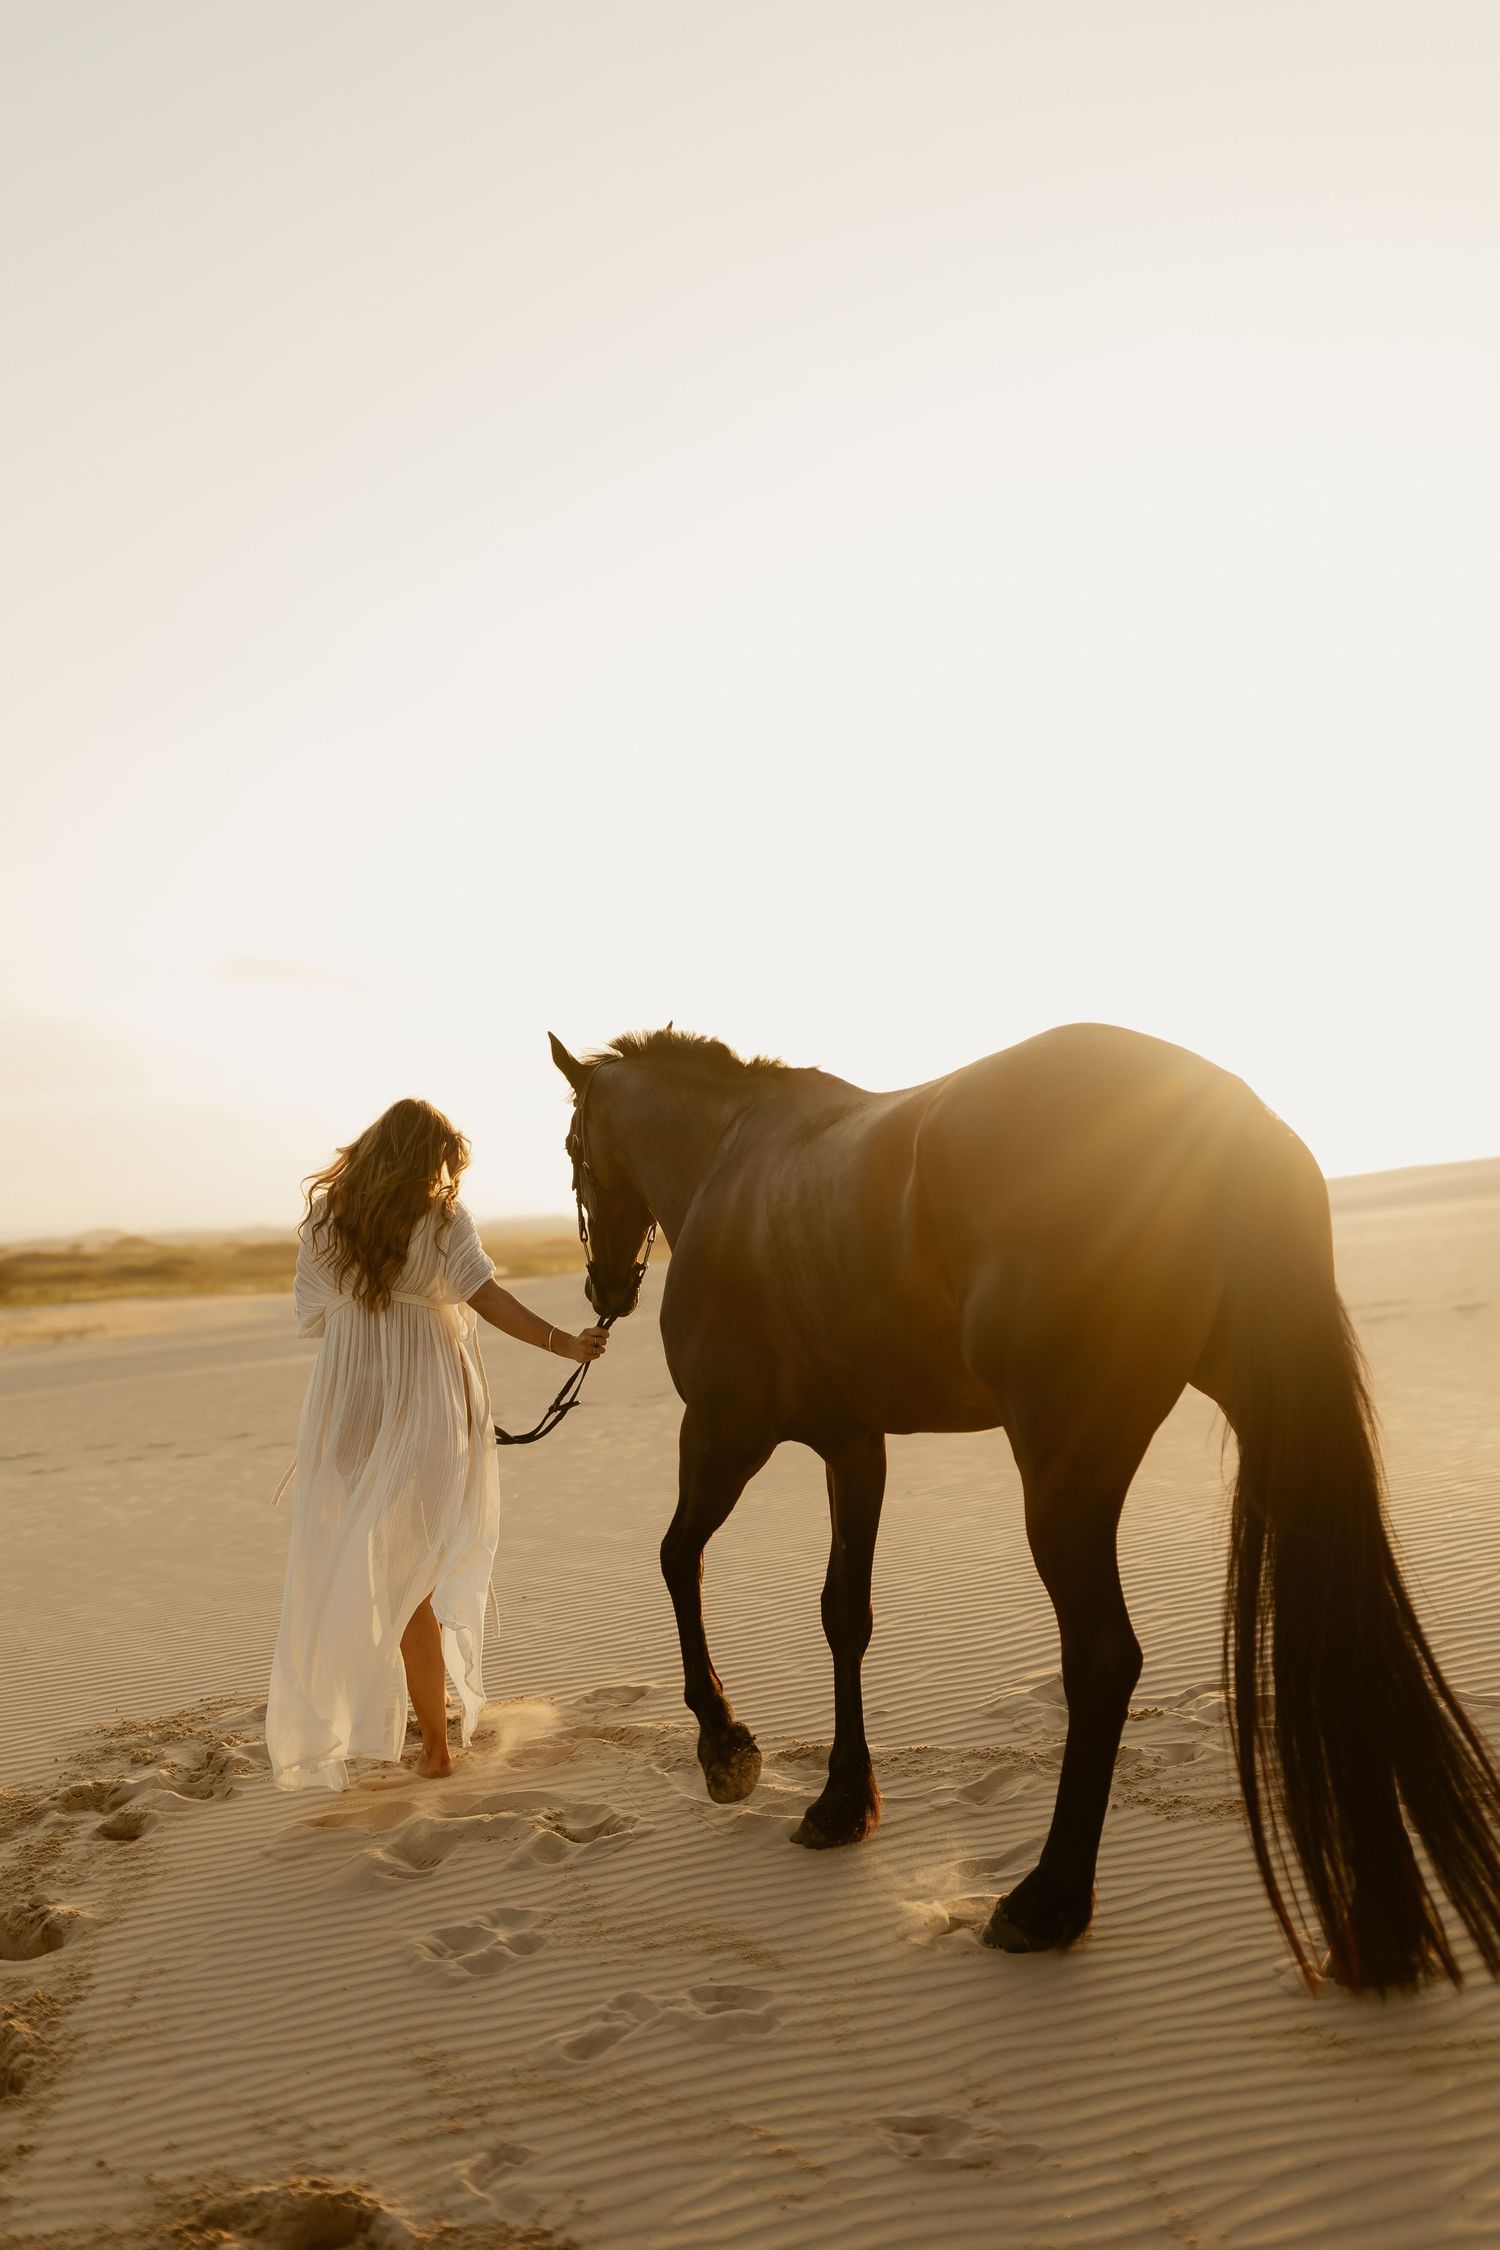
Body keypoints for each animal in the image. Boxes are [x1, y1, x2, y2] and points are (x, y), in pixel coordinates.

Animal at [547, 1020, 1500, 1990]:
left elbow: (677, 1561)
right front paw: (842, 1800)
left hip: (1064, 1473)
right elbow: (844, 1614)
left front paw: (724, 1746)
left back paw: (1047, 1902)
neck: (729, 1160)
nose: (604, 1290)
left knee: (1103, 1661)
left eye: (575, 1152)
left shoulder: (723, 1433)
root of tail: (1229, 1116)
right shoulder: (853, 1444)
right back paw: (1373, 1928)